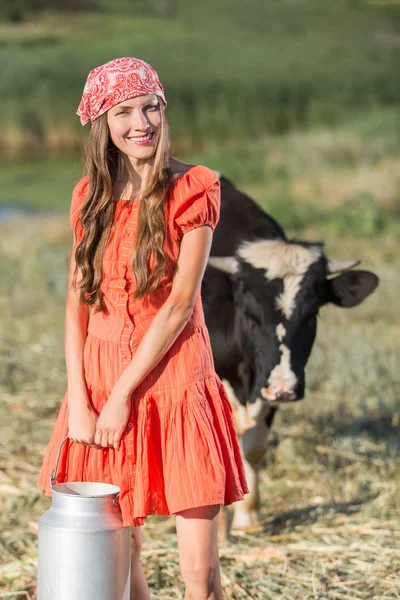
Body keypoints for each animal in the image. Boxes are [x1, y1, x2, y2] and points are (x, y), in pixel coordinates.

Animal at [202, 172, 380, 540]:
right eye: (251, 315)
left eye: (311, 315)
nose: (284, 388)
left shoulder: (265, 388)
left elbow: (253, 446)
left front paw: (248, 518)